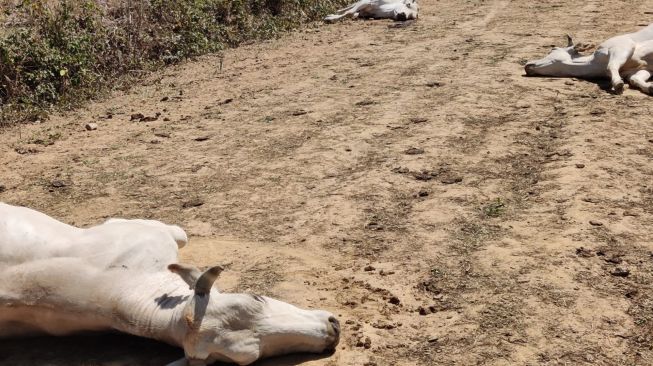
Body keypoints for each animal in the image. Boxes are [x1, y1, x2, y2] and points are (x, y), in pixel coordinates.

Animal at [524, 23, 653, 94]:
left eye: (553, 49)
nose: (527, 65)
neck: (594, 64)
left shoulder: (622, 46)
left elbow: (612, 65)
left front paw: (617, 84)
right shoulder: (639, 70)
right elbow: (635, 78)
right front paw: (650, 87)